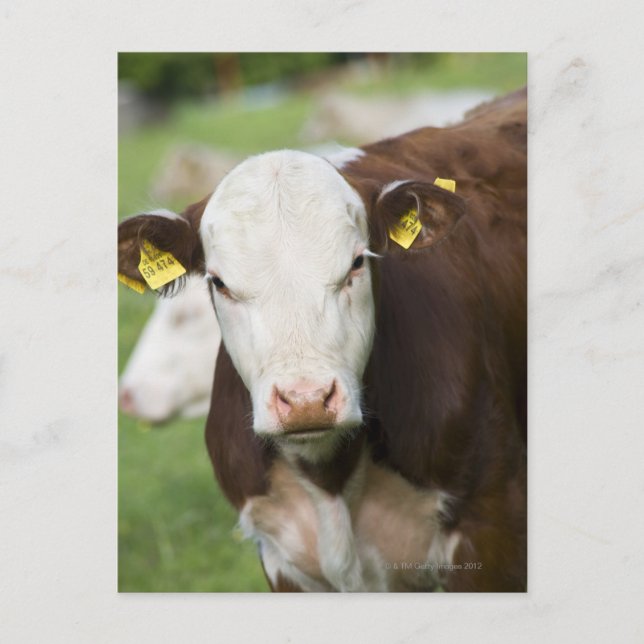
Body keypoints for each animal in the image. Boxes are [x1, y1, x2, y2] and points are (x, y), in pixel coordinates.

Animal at [117, 88, 527, 592]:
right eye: (218, 282)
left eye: (357, 263)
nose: (306, 399)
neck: (330, 479)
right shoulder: (282, 562)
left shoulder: (492, 530)